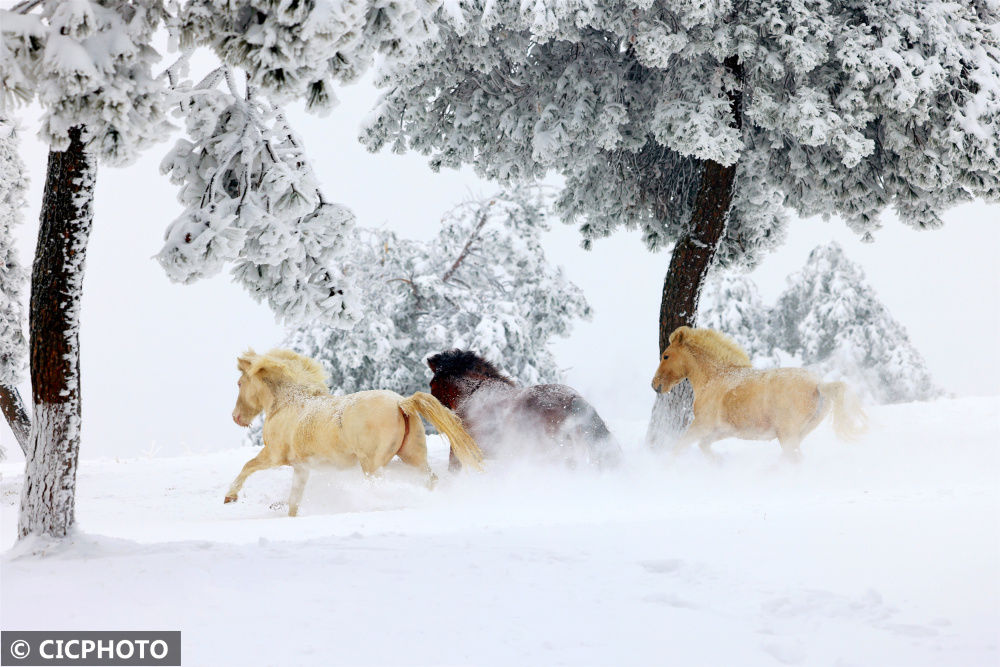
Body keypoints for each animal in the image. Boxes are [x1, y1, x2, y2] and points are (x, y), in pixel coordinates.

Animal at [227, 350, 484, 516]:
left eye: (240, 383)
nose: (236, 417)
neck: (288, 403)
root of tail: (400, 403)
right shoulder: (301, 467)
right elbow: (294, 500)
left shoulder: (273, 455)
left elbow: (247, 466)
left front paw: (230, 497)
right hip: (412, 457)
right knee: (429, 479)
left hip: (373, 465)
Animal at [652, 326, 864, 462]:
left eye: (666, 356)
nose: (655, 385)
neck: (715, 377)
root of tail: (818, 384)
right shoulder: (721, 430)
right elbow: (703, 446)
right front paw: (718, 463)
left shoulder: (701, 424)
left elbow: (678, 447)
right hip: (797, 434)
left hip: (787, 434)